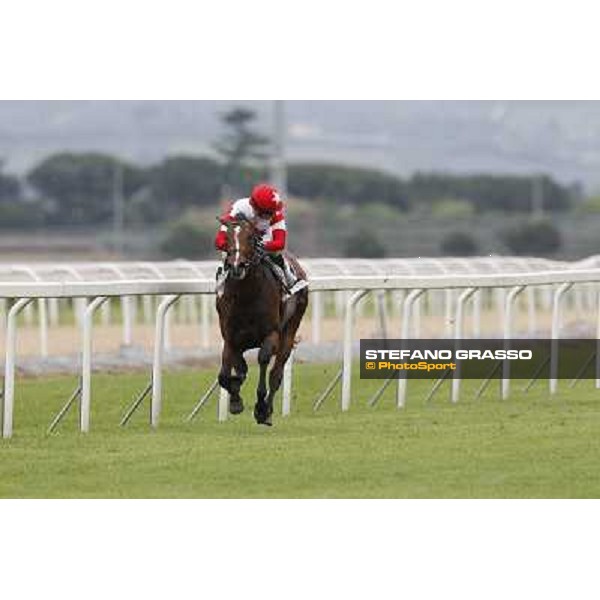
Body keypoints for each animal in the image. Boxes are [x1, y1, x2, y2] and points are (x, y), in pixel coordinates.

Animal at [216, 213, 310, 424]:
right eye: (227, 238)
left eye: (251, 238)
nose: (237, 266)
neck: (246, 295)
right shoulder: (230, 337)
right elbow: (227, 375)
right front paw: (235, 400)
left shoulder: (271, 334)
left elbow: (263, 359)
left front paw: (260, 407)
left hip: (290, 329)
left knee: (276, 373)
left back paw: (267, 410)